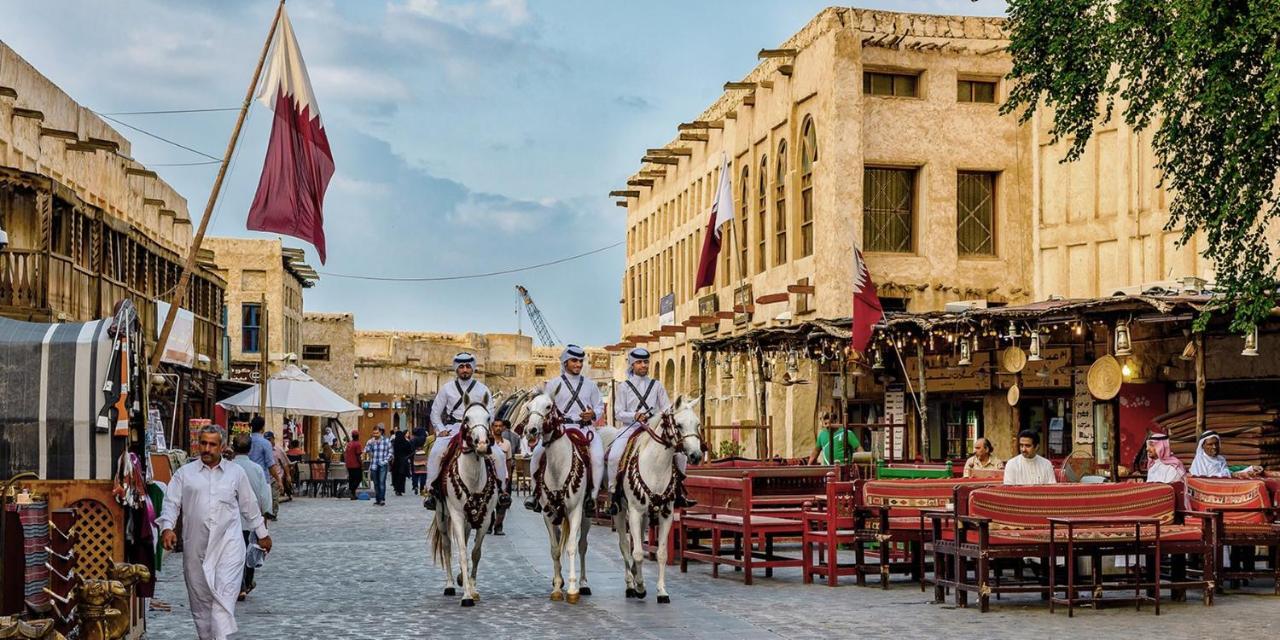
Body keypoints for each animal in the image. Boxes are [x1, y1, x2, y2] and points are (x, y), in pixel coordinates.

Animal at [424, 401, 494, 606]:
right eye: (466, 418)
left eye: (488, 418)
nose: (482, 444)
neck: (473, 478)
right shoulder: (455, 515)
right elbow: (461, 551)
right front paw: (467, 596)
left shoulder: (486, 518)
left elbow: (475, 552)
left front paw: (472, 587)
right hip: (442, 516)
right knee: (447, 546)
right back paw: (449, 585)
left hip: (469, 519)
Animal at [522, 391, 601, 601]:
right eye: (529, 406)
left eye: (549, 406)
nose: (531, 430)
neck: (558, 468)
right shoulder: (547, 514)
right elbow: (555, 549)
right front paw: (557, 587)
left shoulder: (575, 511)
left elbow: (572, 546)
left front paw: (573, 590)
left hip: (585, 516)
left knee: (582, 546)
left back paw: (583, 583)